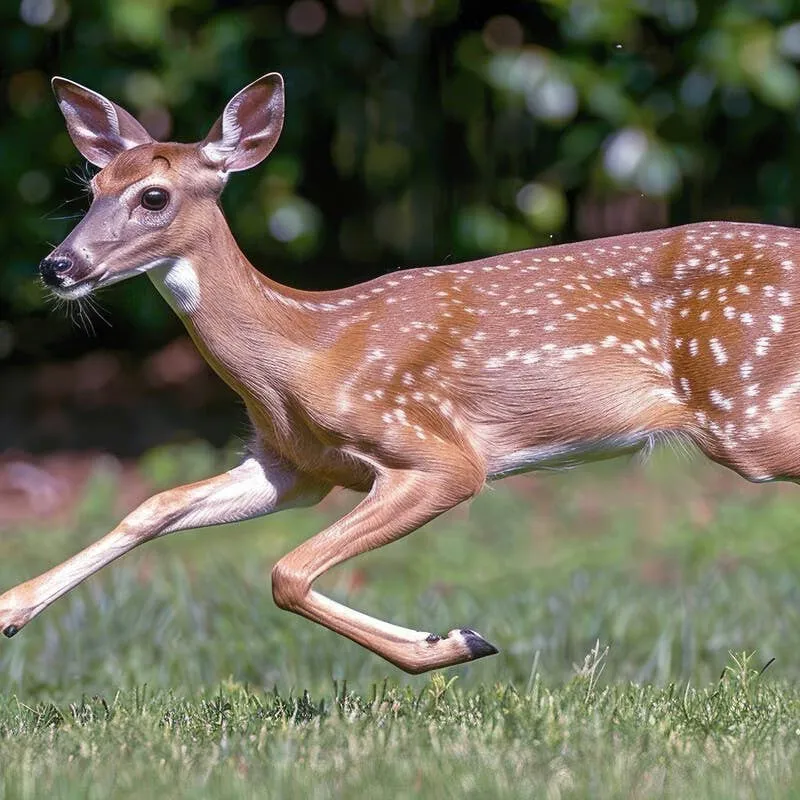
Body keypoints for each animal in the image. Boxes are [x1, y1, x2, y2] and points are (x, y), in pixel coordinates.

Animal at [4, 72, 799, 674]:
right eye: (92, 188)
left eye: (154, 196)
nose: (57, 265)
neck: (303, 351)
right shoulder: (293, 467)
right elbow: (156, 505)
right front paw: (13, 607)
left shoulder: (436, 453)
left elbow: (288, 573)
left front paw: (453, 642)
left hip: (748, 412)